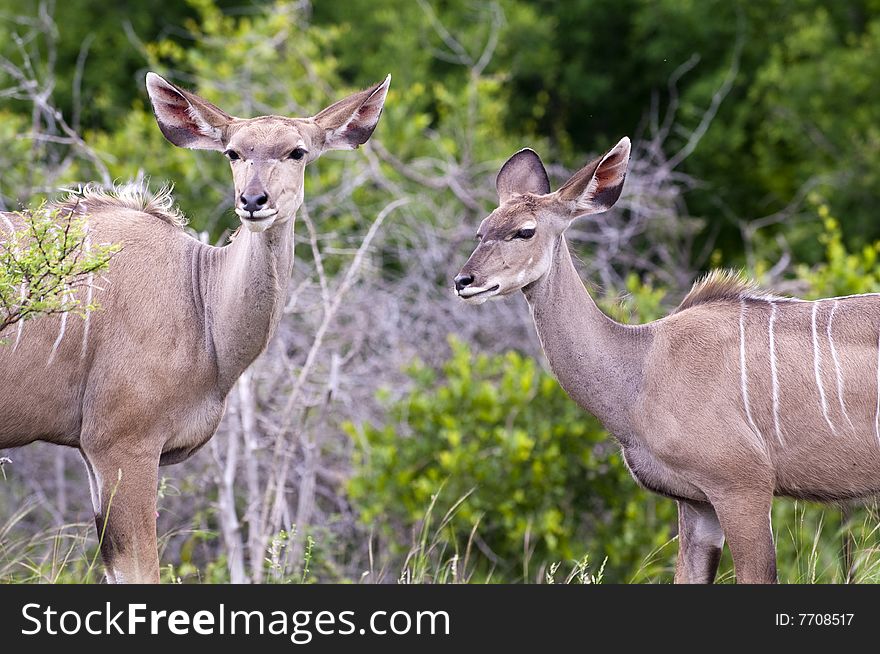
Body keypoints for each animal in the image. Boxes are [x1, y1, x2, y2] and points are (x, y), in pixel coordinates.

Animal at [0, 72, 392, 584]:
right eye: (233, 153)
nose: (253, 201)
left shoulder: (94, 452)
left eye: (297, 152)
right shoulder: (121, 444)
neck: (200, 296)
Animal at [458, 138, 880, 584]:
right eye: (481, 231)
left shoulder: (742, 486)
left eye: (525, 230)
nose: (463, 281)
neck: (641, 367)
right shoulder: (696, 503)